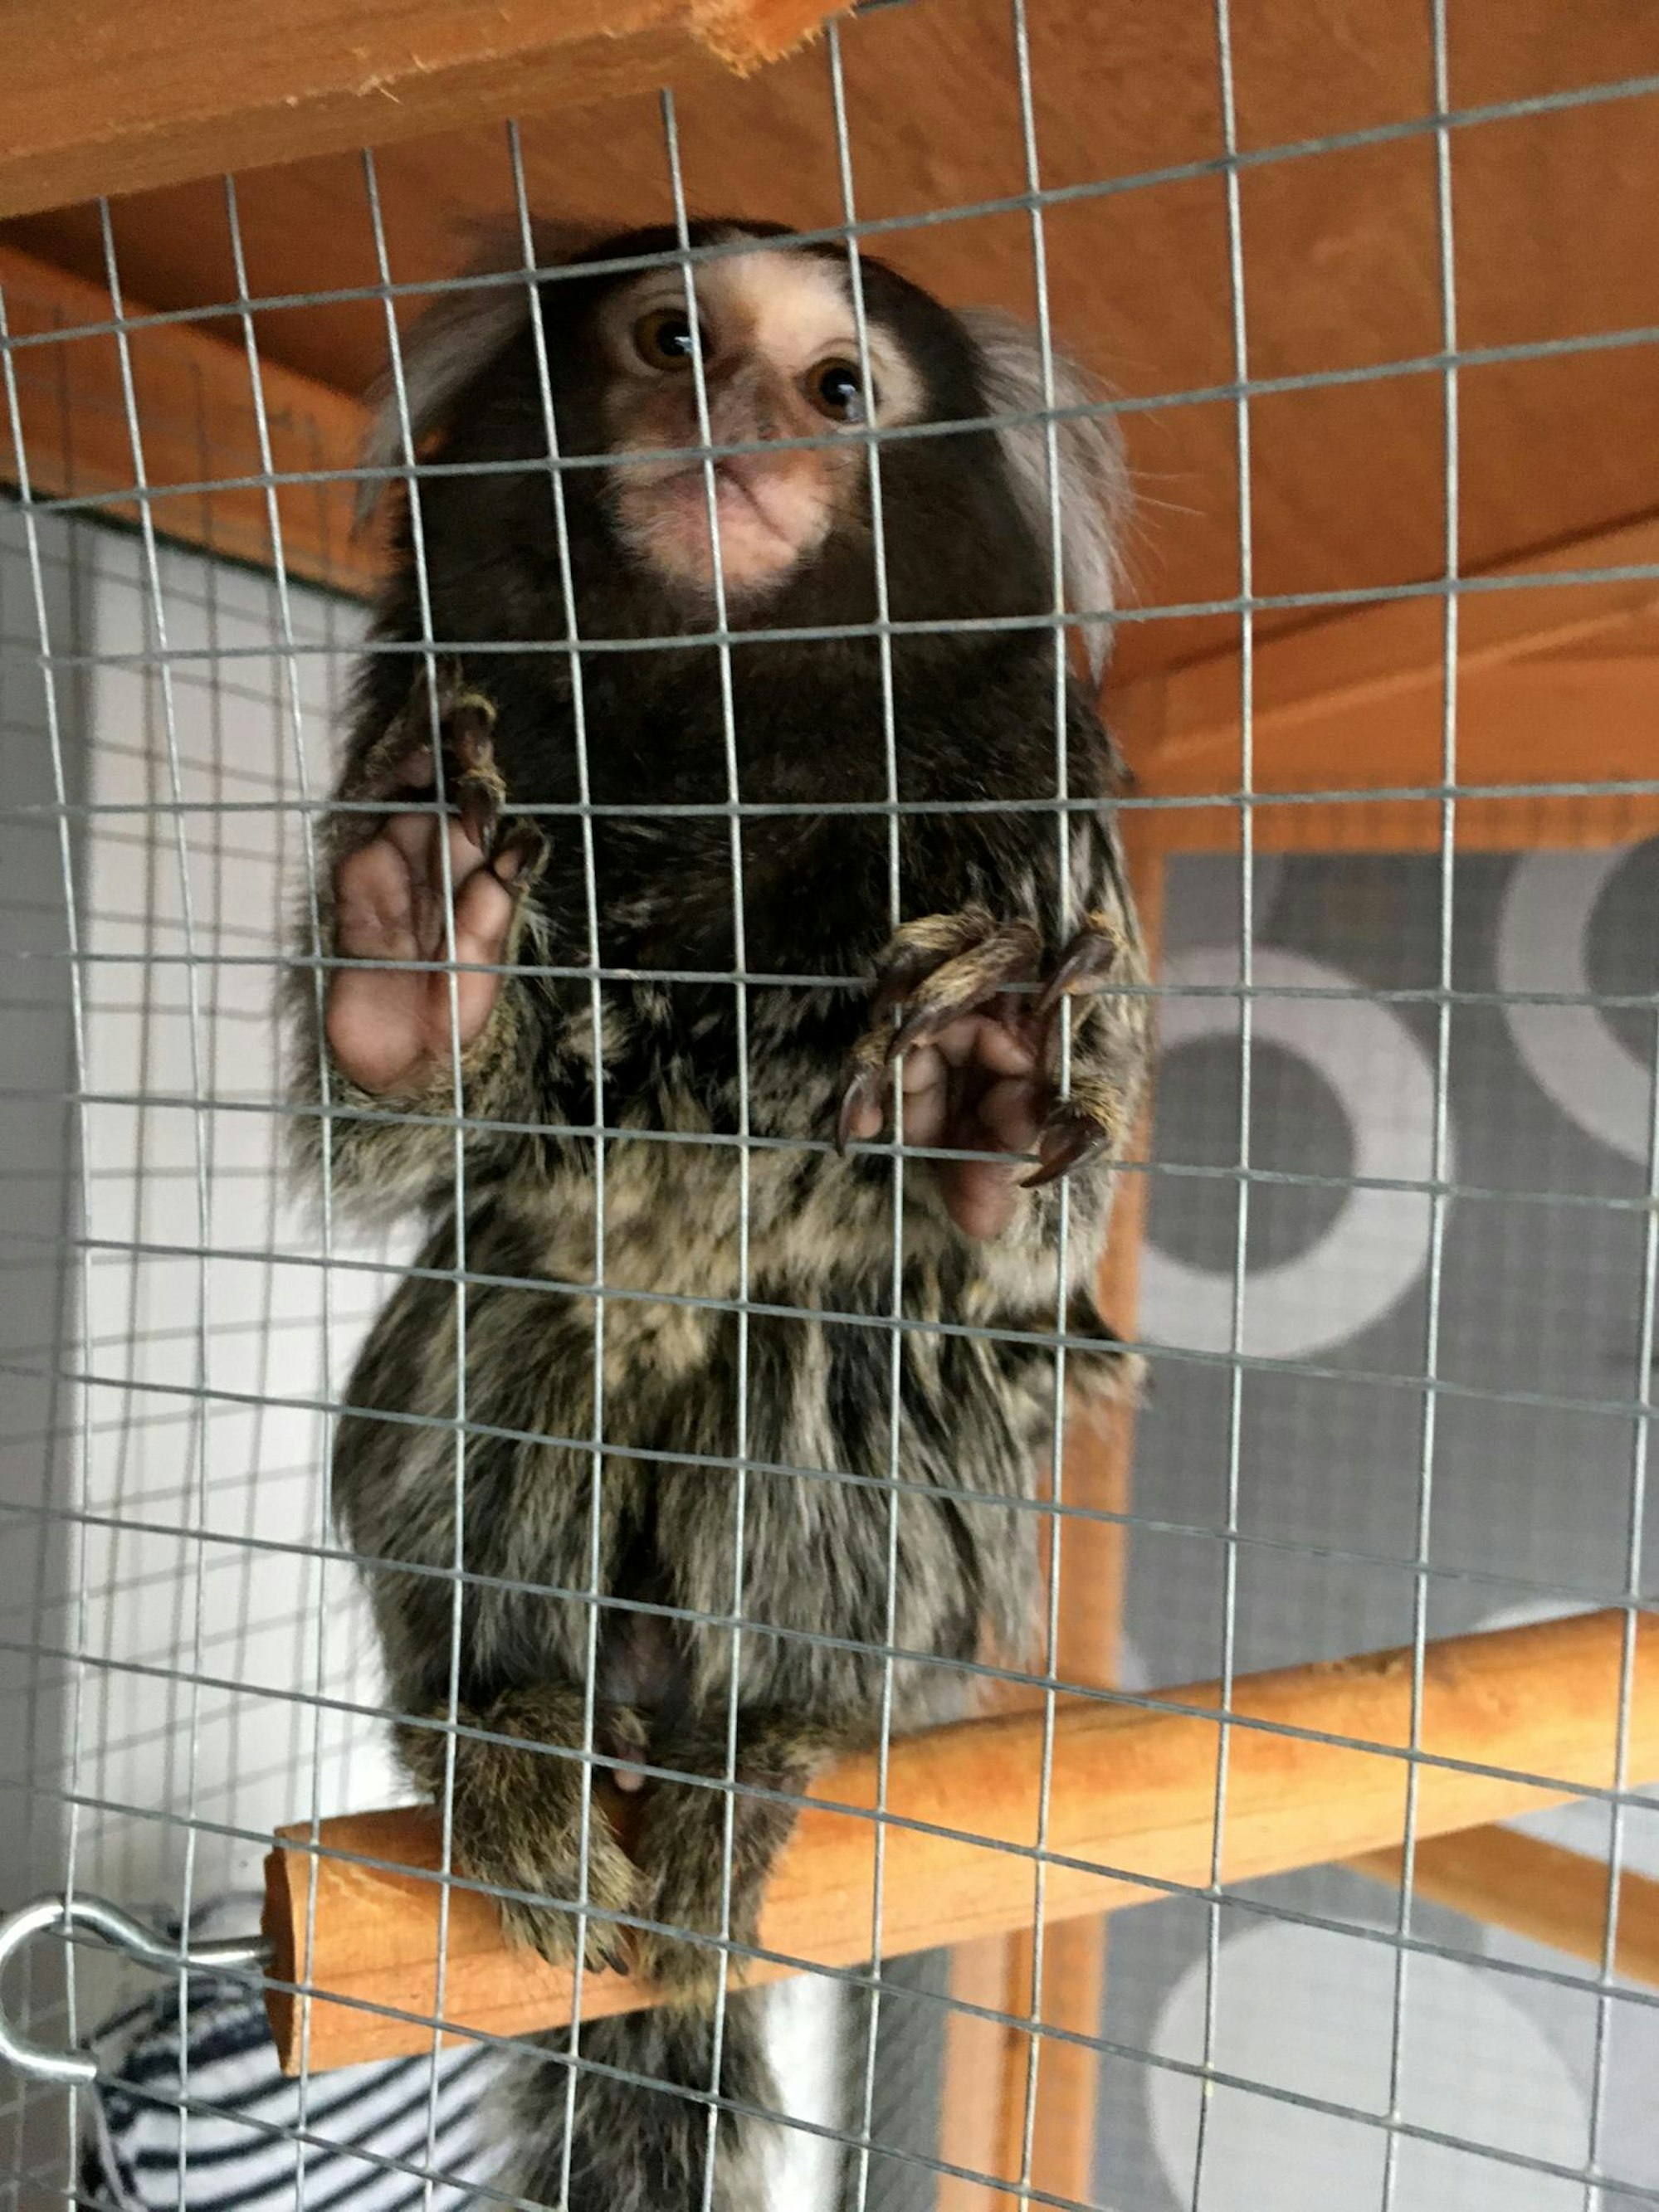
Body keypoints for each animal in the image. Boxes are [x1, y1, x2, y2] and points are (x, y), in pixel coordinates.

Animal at [286, 220, 1149, 2211]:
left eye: (836, 388)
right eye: (671, 341)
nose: (731, 424)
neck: (722, 739)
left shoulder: (1043, 825)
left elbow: (1022, 1257)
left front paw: (980, 1109)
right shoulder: (419, 712)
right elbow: (412, 1147)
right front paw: (409, 957)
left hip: (932, 1603)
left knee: (820, 1358)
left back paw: (770, 1734)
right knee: (517, 1310)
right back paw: (507, 1724)